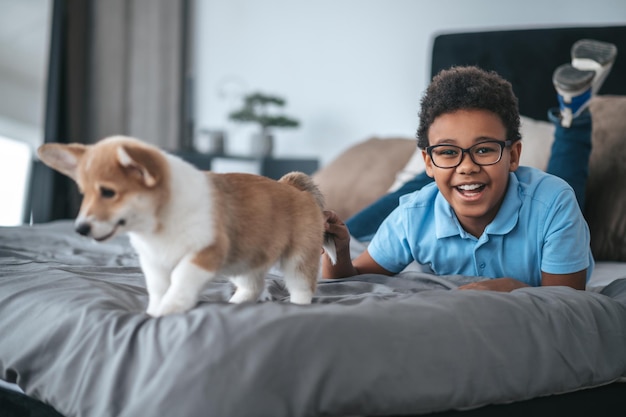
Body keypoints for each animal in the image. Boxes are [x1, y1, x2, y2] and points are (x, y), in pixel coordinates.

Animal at [36, 136, 334, 316]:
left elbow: (181, 278)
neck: (158, 222)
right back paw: (235, 303)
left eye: (108, 193)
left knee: (302, 286)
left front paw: (169, 308)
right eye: (84, 193)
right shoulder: (153, 262)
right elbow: (158, 287)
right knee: (253, 286)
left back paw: (298, 305)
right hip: (244, 260)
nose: (80, 229)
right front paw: (155, 308)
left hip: (297, 259)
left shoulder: (205, 252)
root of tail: (292, 186)